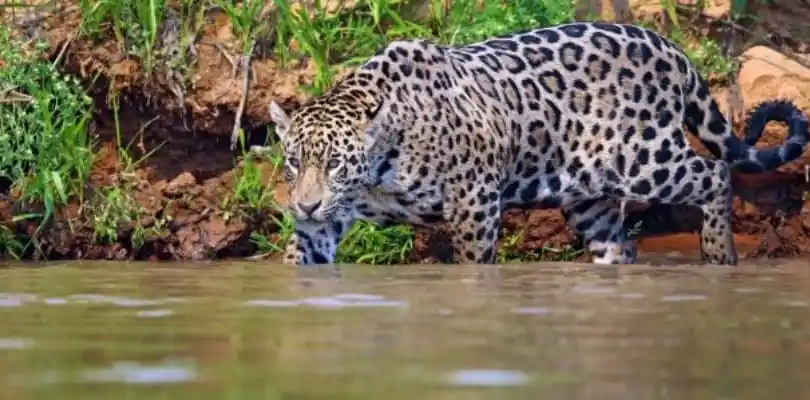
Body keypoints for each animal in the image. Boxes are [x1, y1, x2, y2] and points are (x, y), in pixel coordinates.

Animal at [262, 21, 810, 266]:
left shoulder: (474, 200)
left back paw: (719, 253)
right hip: (590, 195)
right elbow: (299, 256)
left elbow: (473, 263)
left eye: (335, 164)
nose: (305, 204)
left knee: (713, 174)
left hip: (645, 158)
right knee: (619, 243)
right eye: (292, 163)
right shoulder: (326, 223)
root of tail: (668, 46)